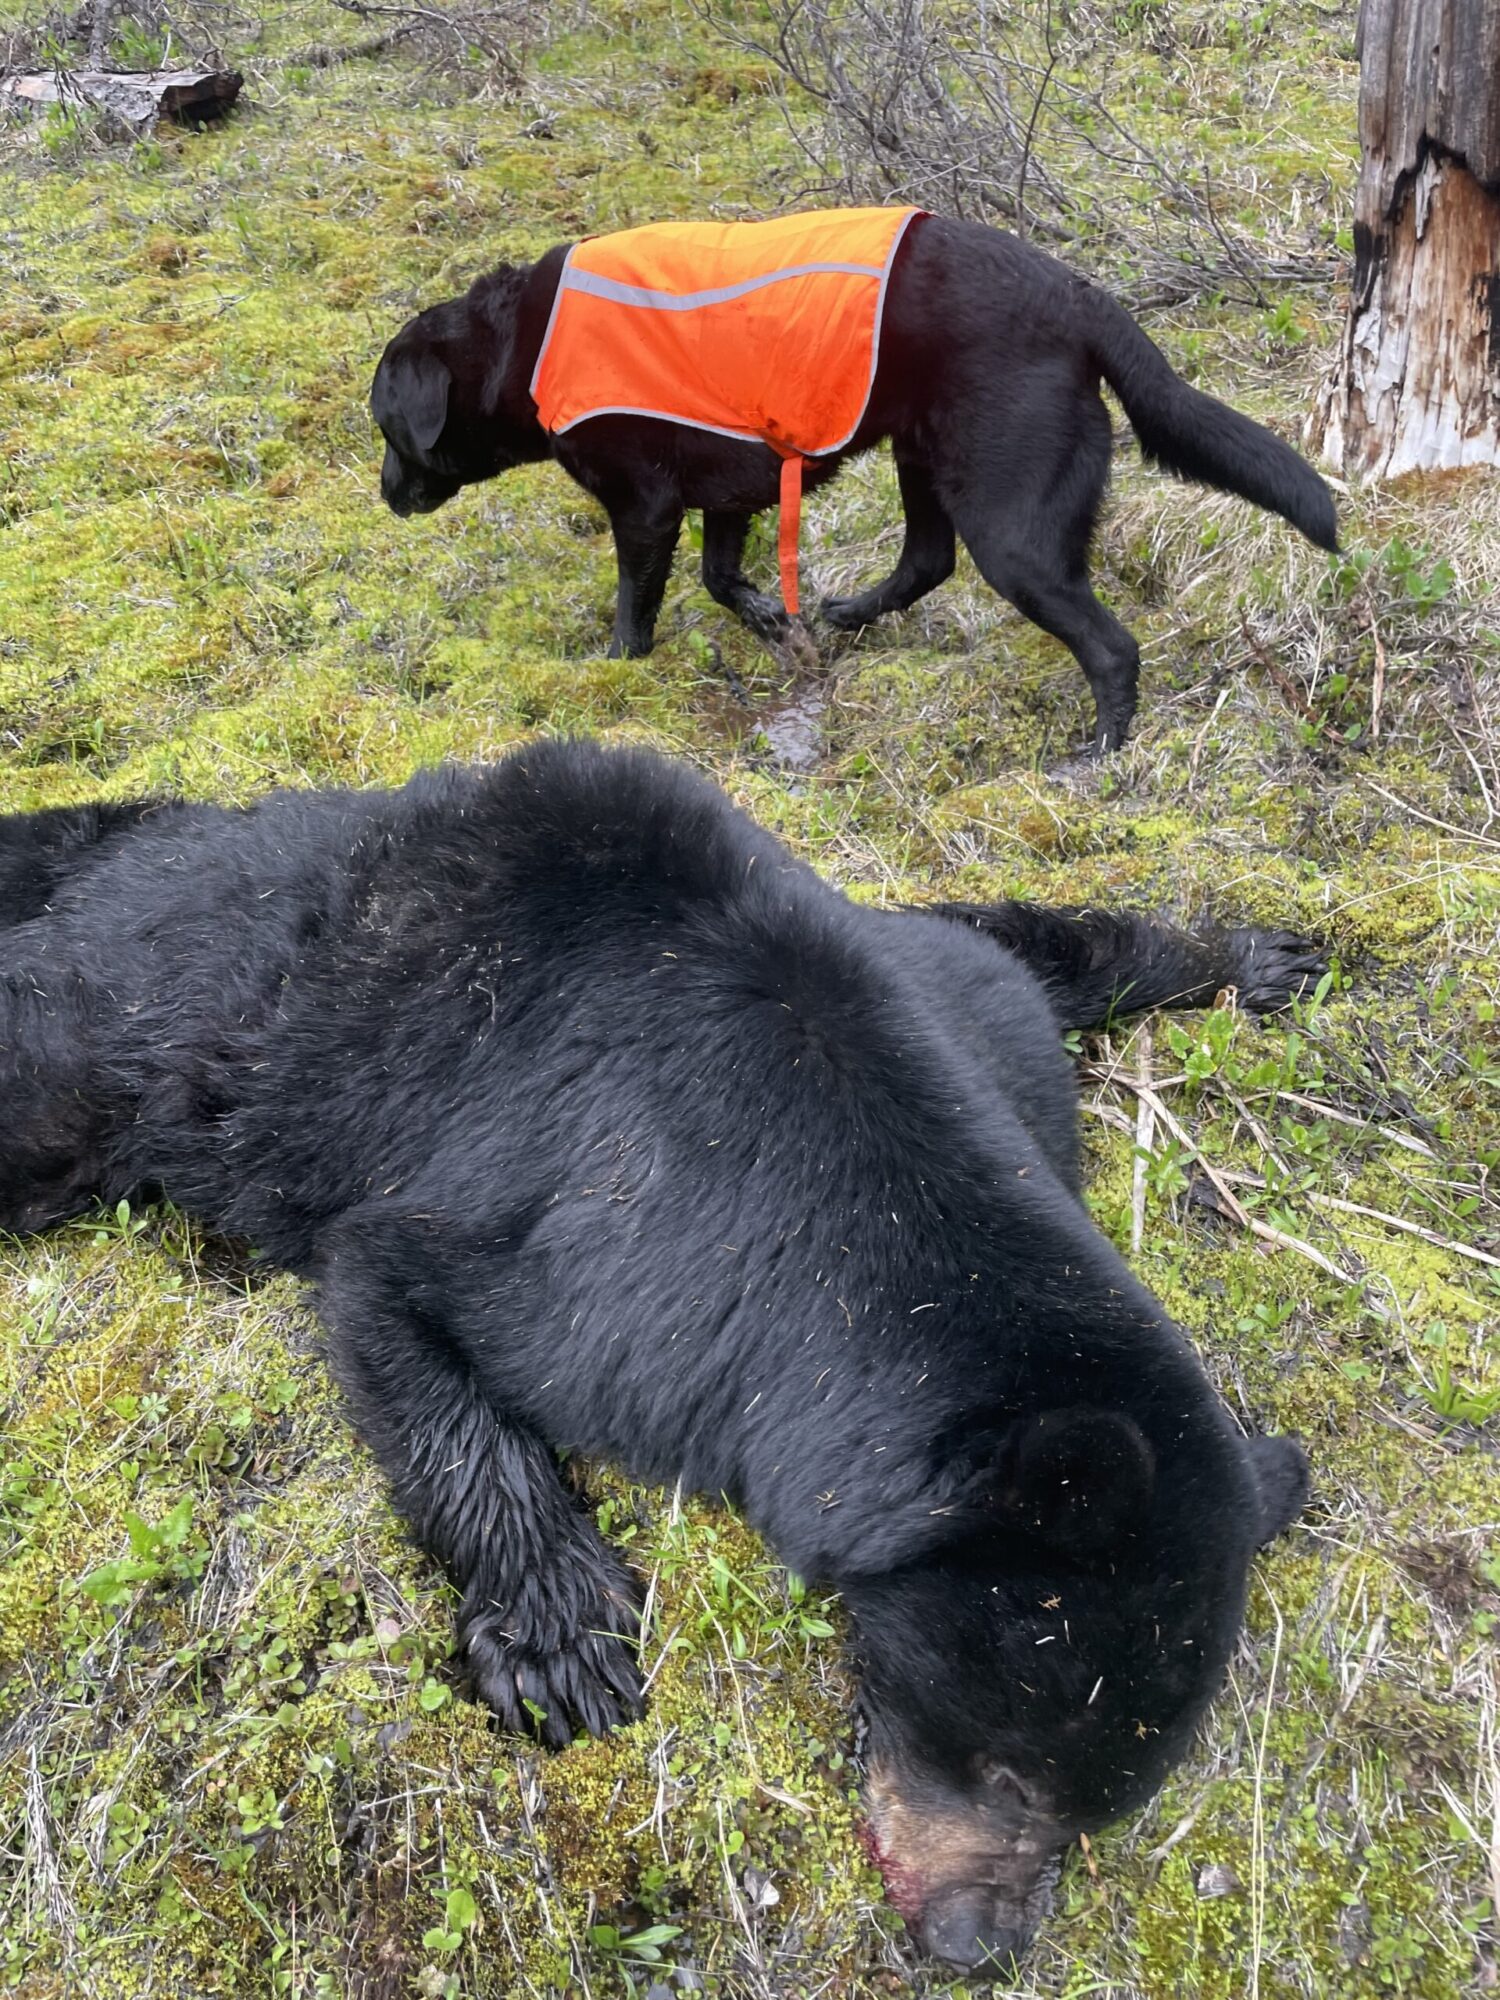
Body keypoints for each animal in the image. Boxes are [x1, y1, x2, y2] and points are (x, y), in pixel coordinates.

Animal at [0, 740, 1312, 1968]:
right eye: (1006, 1766)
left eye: (1101, 1804)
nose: (976, 1942)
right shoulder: (619, 1258)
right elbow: (393, 1293)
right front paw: (561, 1637)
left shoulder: (968, 1019)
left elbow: (999, 938)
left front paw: (1253, 952)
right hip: (123, 1037)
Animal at [374, 209, 1336, 752]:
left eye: (385, 427)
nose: (384, 494)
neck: (521, 344)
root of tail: (1078, 294)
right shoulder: (730, 484)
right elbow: (721, 578)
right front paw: (774, 622)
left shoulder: (644, 506)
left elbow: (635, 607)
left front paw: (616, 673)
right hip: (925, 454)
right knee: (926, 561)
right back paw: (845, 616)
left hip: (1008, 518)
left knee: (1108, 644)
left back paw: (1099, 752)